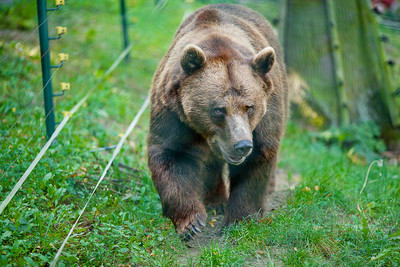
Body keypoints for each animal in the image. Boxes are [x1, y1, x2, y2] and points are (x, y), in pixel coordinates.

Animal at [147, 3, 288, 240]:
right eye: (218, 110)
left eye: (250, 107)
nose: (242, 145)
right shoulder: (173, 111)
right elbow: (170, 154)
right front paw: (191, 223)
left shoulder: (266, 114)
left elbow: (258, 158)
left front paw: (239, 220)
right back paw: (216, 201)